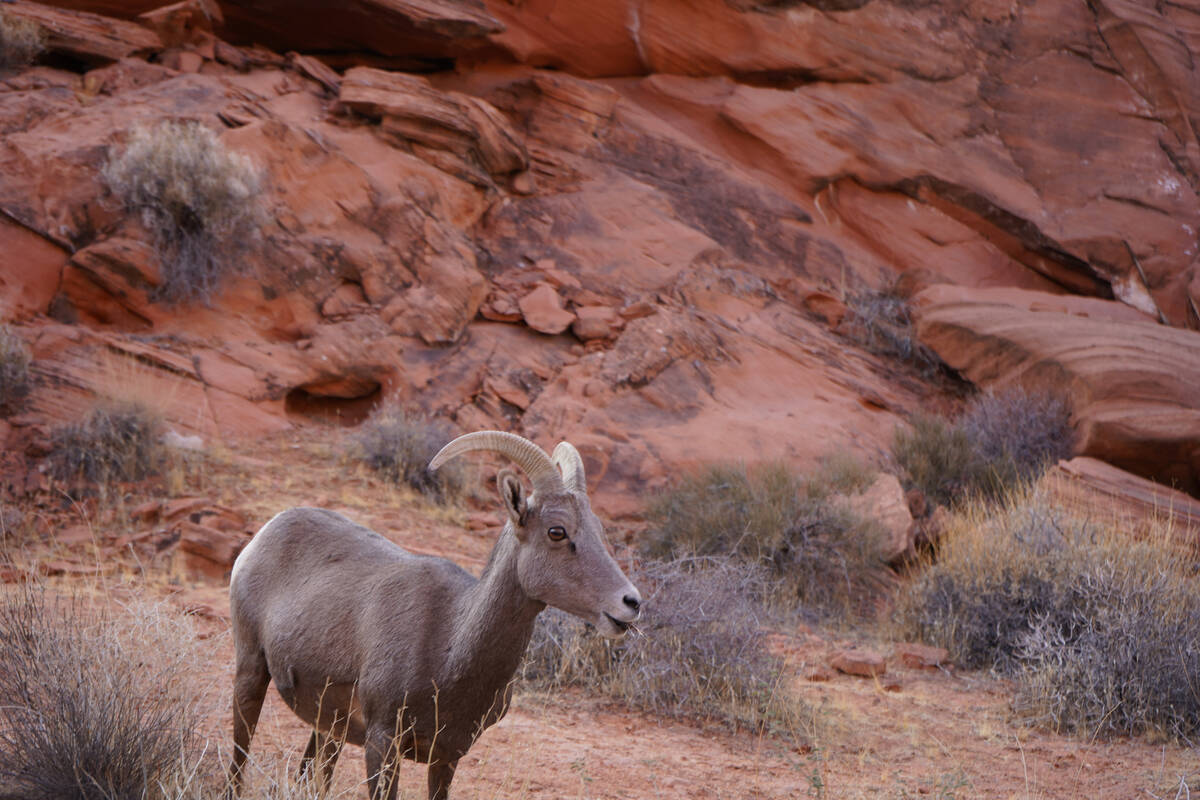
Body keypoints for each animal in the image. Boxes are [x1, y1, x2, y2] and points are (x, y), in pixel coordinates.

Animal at [224, 431, 638, 800]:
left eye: (598, 530)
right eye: (556, 531)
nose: (630, 603)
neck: (448, 645)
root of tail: (269, 529)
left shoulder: (447, 757)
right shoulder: (382, 743)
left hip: (329, 727)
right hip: (251, 671)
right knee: (239, 759)